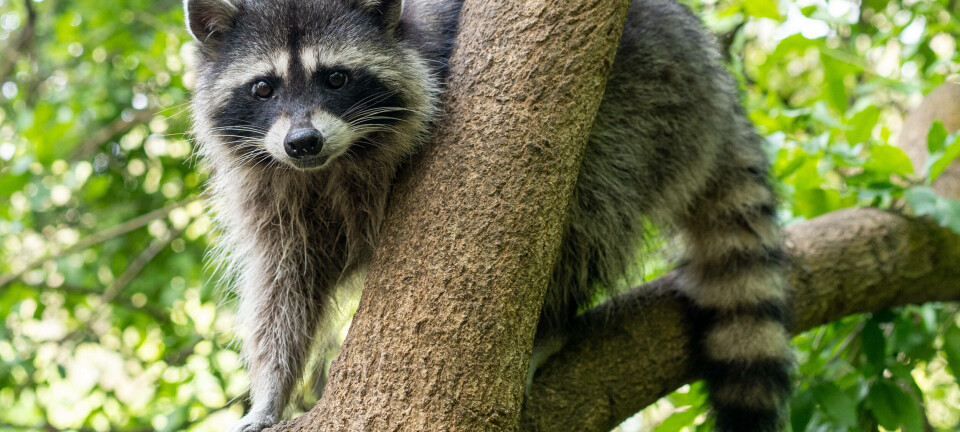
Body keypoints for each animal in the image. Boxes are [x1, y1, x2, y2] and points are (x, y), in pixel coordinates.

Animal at [184, 0, 793, 431]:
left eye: (335, 78)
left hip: (651, 98)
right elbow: (284, 284)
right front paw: (271, 390)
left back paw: (553, 323)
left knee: (589, 205)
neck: (331, 163)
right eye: (263, 88)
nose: (303, 142)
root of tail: (716, 82)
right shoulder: (272, 190)